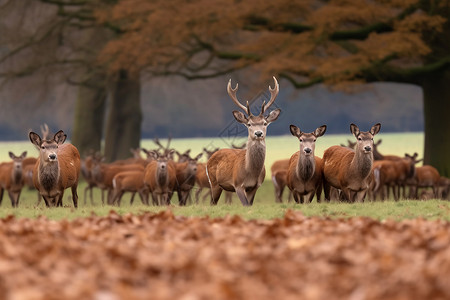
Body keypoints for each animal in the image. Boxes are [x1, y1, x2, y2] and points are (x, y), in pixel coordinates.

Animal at [206, 77, 280, 206]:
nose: (258, 133)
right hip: (213, 183)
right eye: (249, 124)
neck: (251, 172)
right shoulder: (237, 184)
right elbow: (245, 205)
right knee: (212, 203)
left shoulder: (255, 187)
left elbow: (249, 205)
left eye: (265, 123)